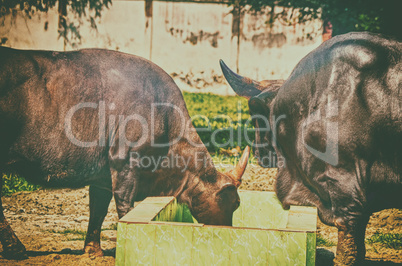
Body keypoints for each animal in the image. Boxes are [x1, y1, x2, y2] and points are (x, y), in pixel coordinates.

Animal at [0, 46, 250, 260]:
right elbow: (124, 206)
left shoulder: (101, 177)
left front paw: (93, 251)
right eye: (235, 203)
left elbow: (98, 209)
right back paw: (16, 249)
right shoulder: (125, 163)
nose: (229, 231)